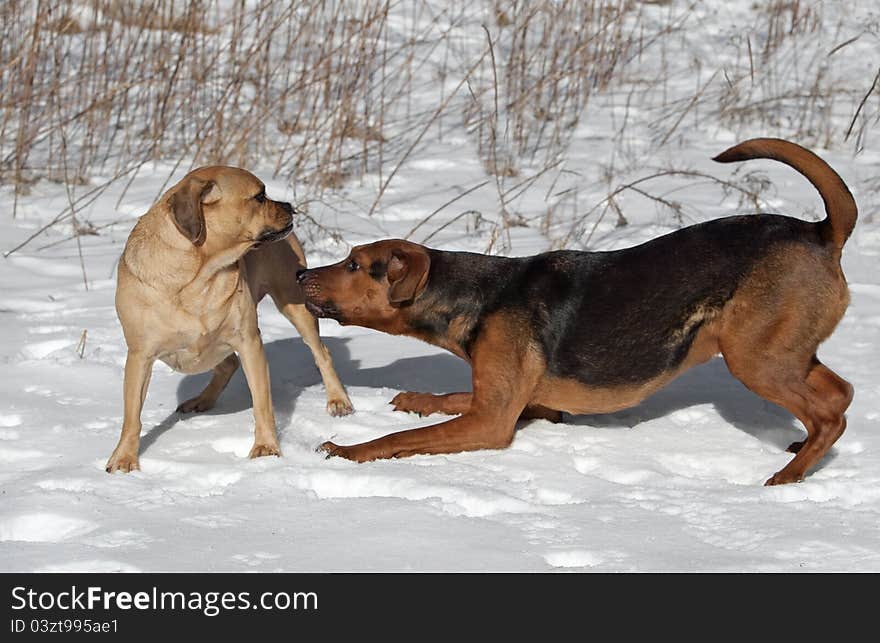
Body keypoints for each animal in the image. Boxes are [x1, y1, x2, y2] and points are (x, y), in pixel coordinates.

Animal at [105, 166, 348, 472]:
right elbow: (132, 416)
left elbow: (262, 404)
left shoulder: (249, 341)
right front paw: (124, 458)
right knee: (227, 364)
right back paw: (202, 400)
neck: (199, 272)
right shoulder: (140, 355)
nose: (289, 206)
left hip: (294, 303)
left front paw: (266, 448)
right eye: (259, 196)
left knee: (321, 352)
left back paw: (338, 400)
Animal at [300, 138, 856, 486]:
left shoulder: (492, 422)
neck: (474, 295)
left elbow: (399, 439)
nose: (301, 276)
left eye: (354, 263)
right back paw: (800, 452)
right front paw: (417, 397)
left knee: (831, 415)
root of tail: (821, 233)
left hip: (754, 358)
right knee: (841, 394)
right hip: (783, 352)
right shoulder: (521, 405)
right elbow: (450, 398)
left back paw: (787, 476)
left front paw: (347, 451)